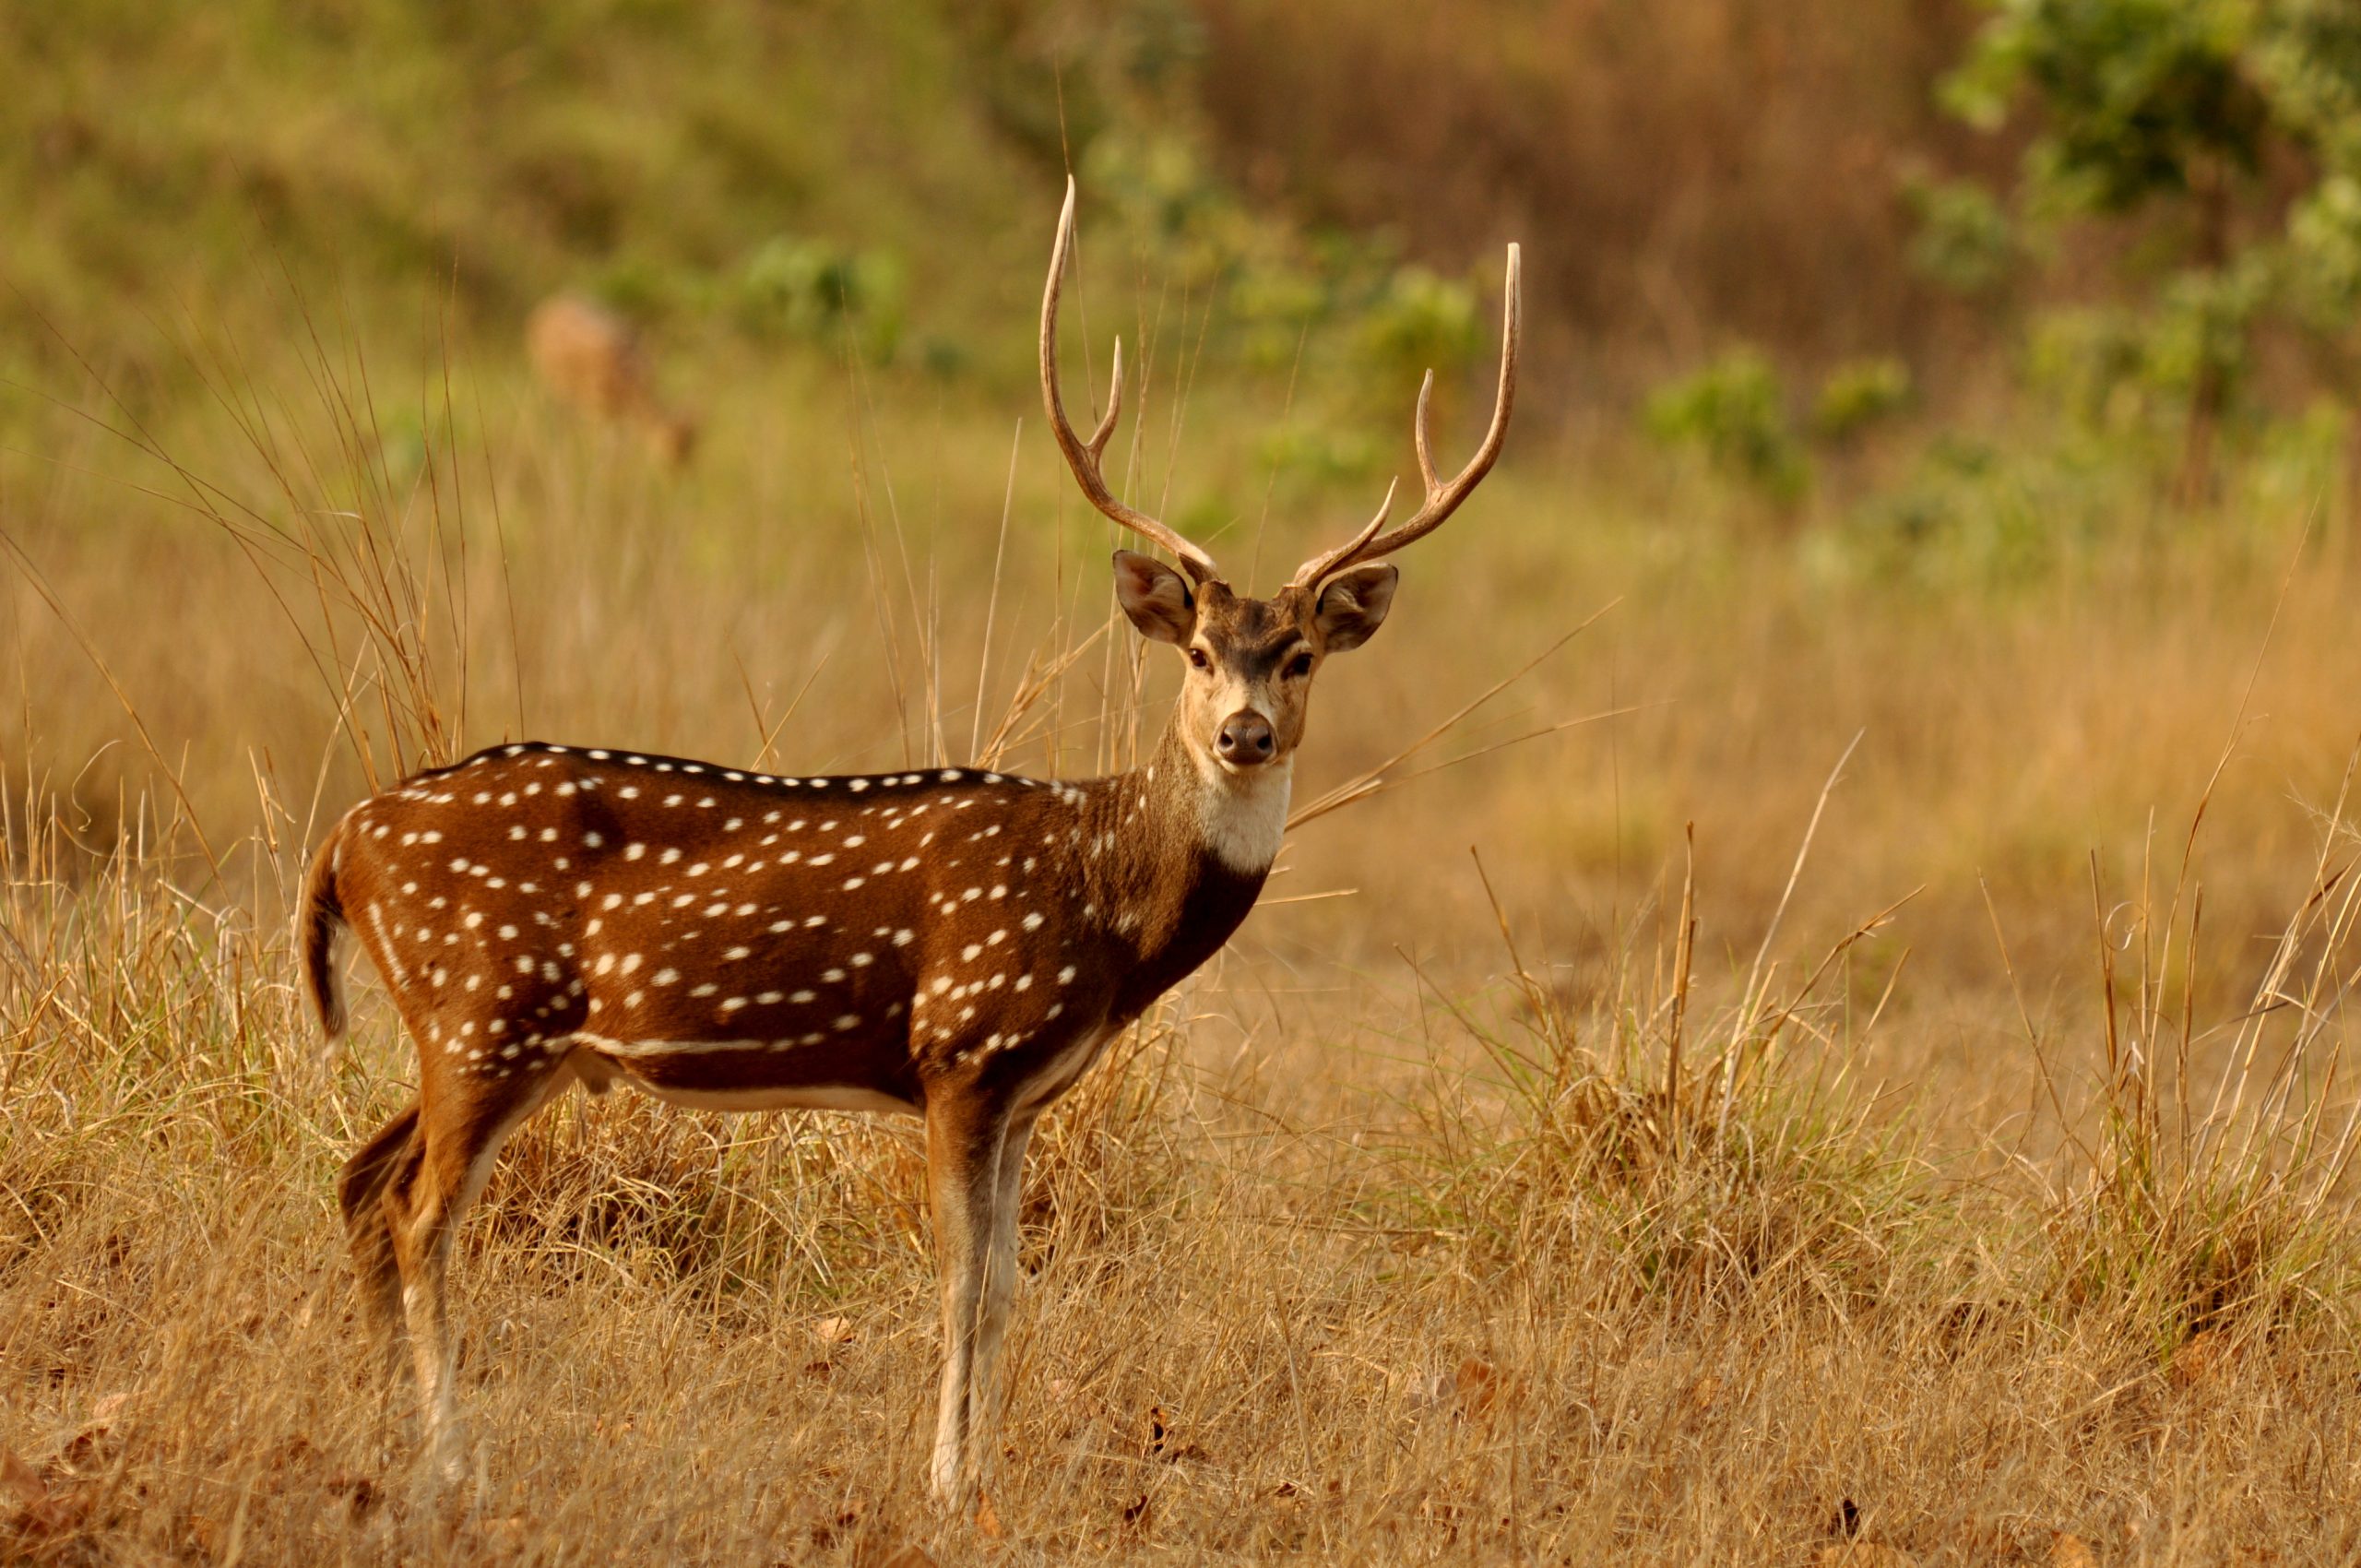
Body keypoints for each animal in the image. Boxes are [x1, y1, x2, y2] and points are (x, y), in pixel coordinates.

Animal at [525, 293, 698, 467]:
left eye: (691, 447)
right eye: (670, 446)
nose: (681, 470)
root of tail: (543, 309)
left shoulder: (617, 410)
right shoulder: (596, 405)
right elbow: (605, 444)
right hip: (544, 381)